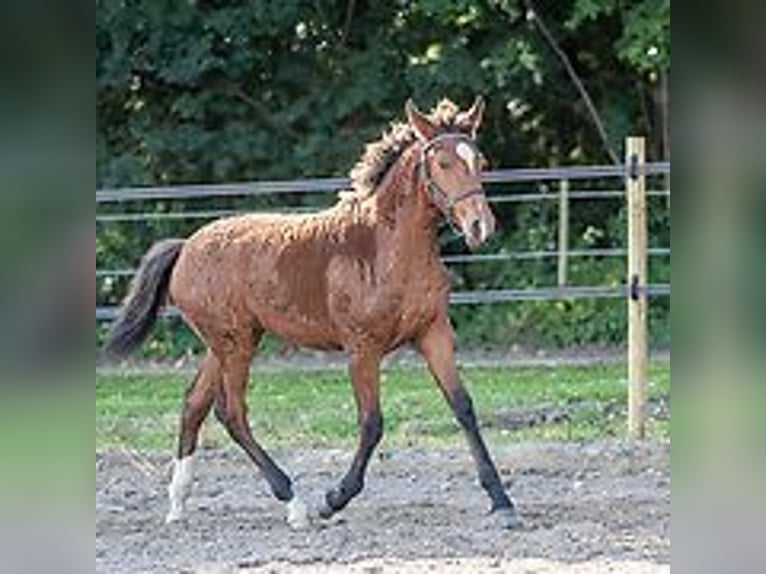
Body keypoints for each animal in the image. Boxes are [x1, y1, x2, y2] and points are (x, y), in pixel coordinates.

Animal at [103, 98, 520, 532]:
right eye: (442, 162)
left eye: (480, 161)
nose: (480, 226)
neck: (386, 248)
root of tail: (186, 247)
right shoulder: (362, 348)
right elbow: (371, 423)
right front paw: (334, 499)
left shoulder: (433, 333)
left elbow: (463, 408)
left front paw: (501, 500)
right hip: (234, 343)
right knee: (231, 412)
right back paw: (294, 503)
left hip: (230, 341)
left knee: (194, 403)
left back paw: (178, 503)